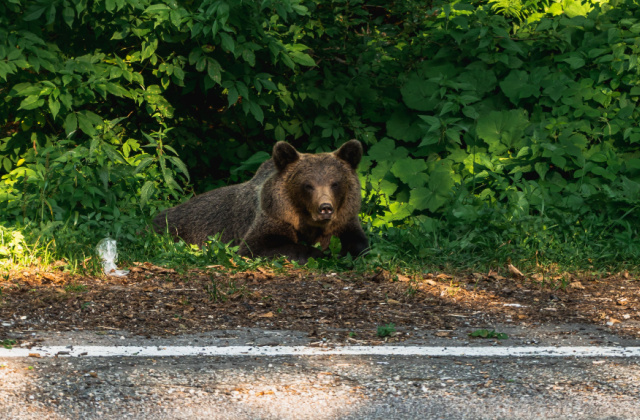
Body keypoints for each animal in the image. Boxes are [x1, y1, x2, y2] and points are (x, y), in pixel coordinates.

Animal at [152, 140, 368, 262]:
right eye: (308, 185)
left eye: (335, 183)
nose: (325, 208)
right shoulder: (274, 216)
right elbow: (258, 246)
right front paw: (319, 253)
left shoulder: (344, 219)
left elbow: (359, 243)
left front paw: (343, 252)